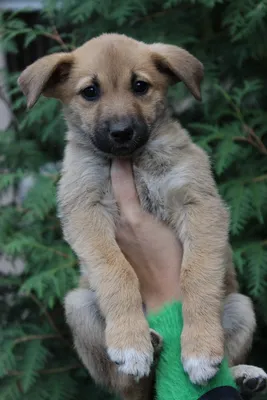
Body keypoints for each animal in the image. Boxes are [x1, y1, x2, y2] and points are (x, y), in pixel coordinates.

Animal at [17, 32, 266, 398]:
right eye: (90, 91)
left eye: (140, 86)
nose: (121, 132)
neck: (132, 161)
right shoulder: (85, 212)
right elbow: (116, 270)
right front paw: (130, 344)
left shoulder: (200, 205)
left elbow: (197, 273)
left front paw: (201, 349)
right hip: (78, 305)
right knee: (129, 383)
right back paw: (147, 345)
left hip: (241, 307)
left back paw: (241, 373)